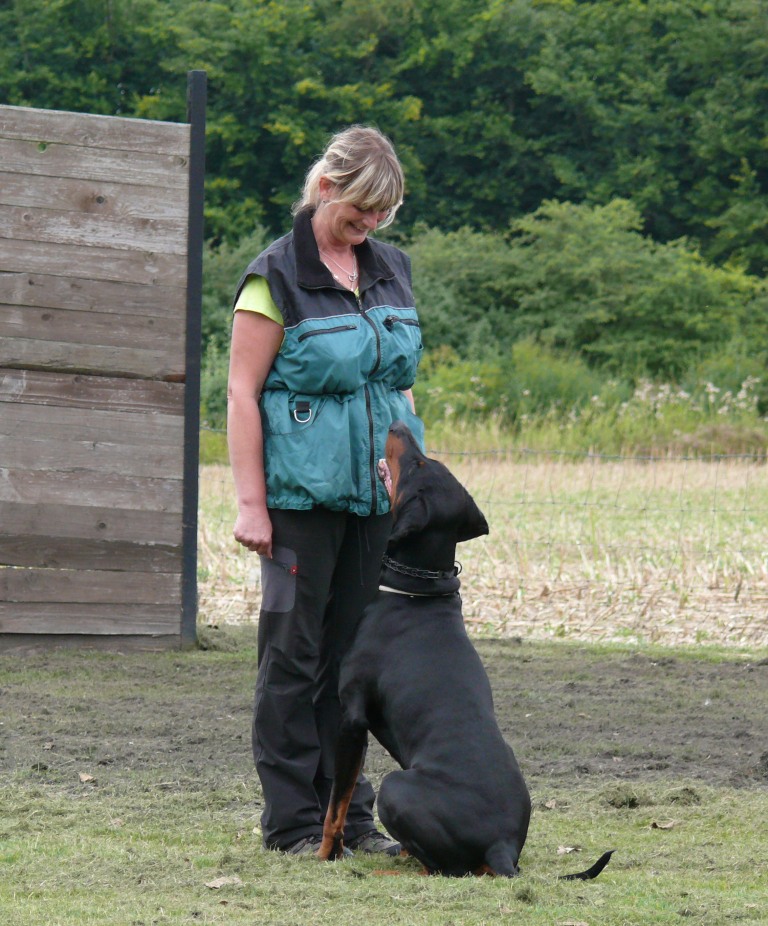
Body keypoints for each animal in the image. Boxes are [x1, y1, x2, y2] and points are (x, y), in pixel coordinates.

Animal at [318, 424, 612, 880]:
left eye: (418, 463)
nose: (398, 425)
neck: (416, 588)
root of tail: (502, 846)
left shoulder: (351, 718)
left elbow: (337, 805)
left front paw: (323, 855)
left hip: (395, 785)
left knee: (442, 869)